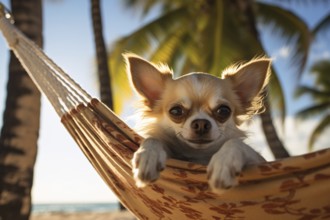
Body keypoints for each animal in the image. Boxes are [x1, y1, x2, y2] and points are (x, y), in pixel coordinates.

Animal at [125, 54, 270, 192]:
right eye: (176, 111)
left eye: (224, 111)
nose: (201, 123)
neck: (198, 155)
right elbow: (152, 139)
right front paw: (148, 156)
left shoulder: (261, 161)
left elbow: (236, 143)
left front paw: (224, 162)